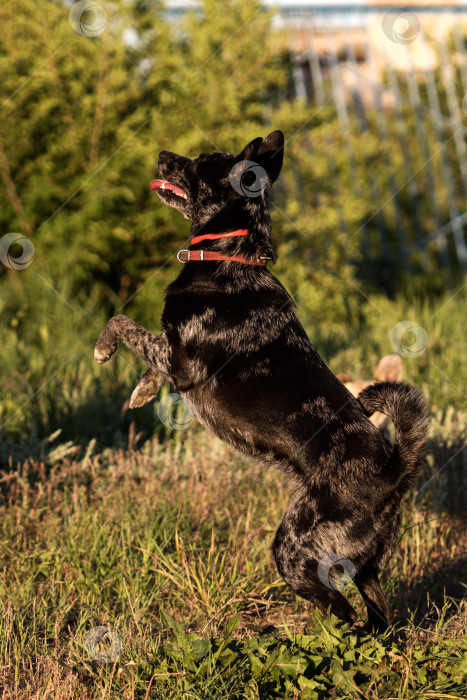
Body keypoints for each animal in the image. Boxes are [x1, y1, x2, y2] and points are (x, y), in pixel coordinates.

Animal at [96, 130, 432, 628]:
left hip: (295, 549)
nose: (161, 155)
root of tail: (393, 470)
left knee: (344, 615)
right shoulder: (172, 354)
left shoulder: (181, 359)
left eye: (199, 163)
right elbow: (148, 355)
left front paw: (104, 349)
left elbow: (124, 324)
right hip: (365, 564)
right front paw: (142, 390)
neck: (229, 256)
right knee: (379, 618)